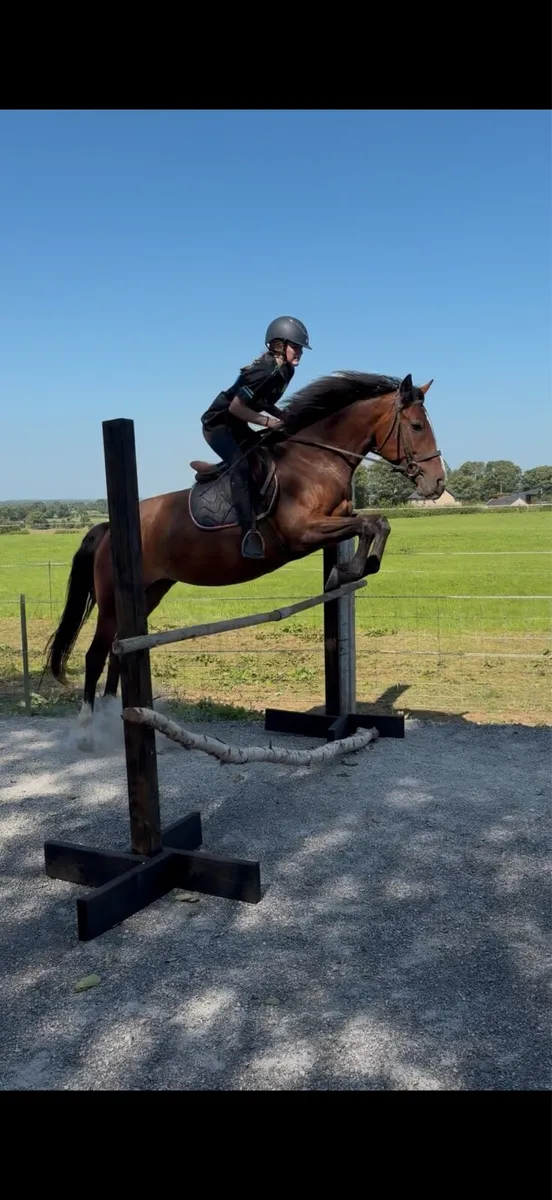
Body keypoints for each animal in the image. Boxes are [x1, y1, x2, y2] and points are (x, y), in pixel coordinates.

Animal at [43, 370, 444, 730]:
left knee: (119, 652)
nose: (437, 484)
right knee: (97, 654)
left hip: (149, 593)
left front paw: (352, 569)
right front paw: (349, 570)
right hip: (113, 601)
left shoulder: (336, 518)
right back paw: (87, 725)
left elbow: (377, 522)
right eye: (416, 427)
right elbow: (370, 524)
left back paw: (112, 713)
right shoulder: (303, 531)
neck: (315, 462)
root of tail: (109, 528)